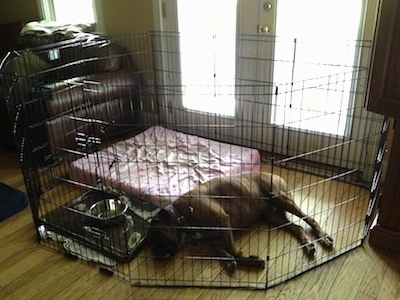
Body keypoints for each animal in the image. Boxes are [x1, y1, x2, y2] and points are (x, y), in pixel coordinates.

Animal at [148, 172, 334, 274]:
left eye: (156, 235)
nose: (156, 254)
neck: (181, 215)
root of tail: (275, 174)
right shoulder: (216, 236)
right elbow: (220, 249)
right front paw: (230, 261)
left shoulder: (223, 221)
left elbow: (232, 249)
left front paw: (249, 260)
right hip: (272, 216)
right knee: (298, 227)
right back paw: (308, 245)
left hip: (280, 198)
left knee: (310, 219)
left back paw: (324, 237)